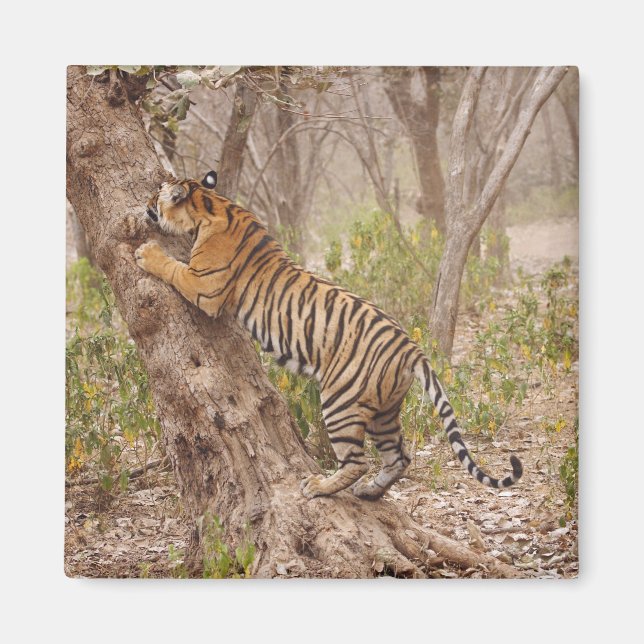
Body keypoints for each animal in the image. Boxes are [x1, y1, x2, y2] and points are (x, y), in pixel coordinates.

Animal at [135, 170, 523, 500]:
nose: (144, 204)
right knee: (399, 457)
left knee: (357, 461)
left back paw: (320, 486)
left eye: (156, 194)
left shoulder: (204, 287)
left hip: (341, 402)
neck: (212, 204)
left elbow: (172, 267)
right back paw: (370, 492)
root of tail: (411, 349)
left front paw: (146, 253)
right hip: (385, 411)